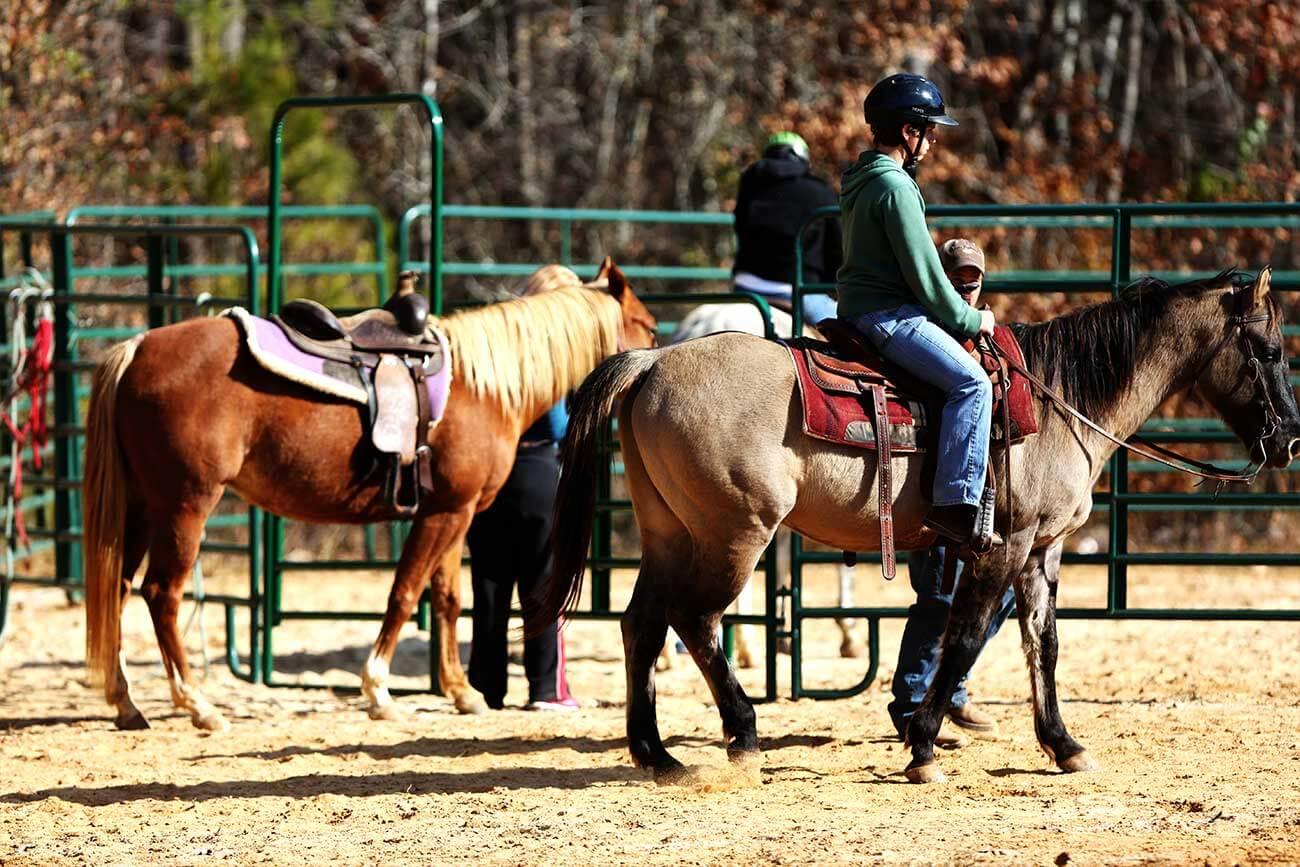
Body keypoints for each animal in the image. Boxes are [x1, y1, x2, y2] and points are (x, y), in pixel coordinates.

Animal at [81, 259, 655, 733]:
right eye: (648, 325)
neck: (483, 386)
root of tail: (137, 349)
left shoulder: (455, 514)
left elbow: (446, 600)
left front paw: (461, 693)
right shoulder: (444, 515)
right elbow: (404, 593)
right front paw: (379, 691)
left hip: (142, 507)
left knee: (118, 589)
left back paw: (126, 703)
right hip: (185, 506)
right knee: (162, 593)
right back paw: (197, 705)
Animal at [530, 267, 1300, 785]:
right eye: (1269, 351)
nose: (1290, 439)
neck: (1061, 399)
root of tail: (654, 360)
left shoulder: (1040, 551)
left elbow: (1042, 646)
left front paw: (1063, 743)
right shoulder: (1001, 549)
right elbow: (961, 639)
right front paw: (925, 745)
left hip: (669, 533)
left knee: (641, 622)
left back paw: (655, 752)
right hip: (734, 533)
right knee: (695, 619)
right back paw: (742, 734)